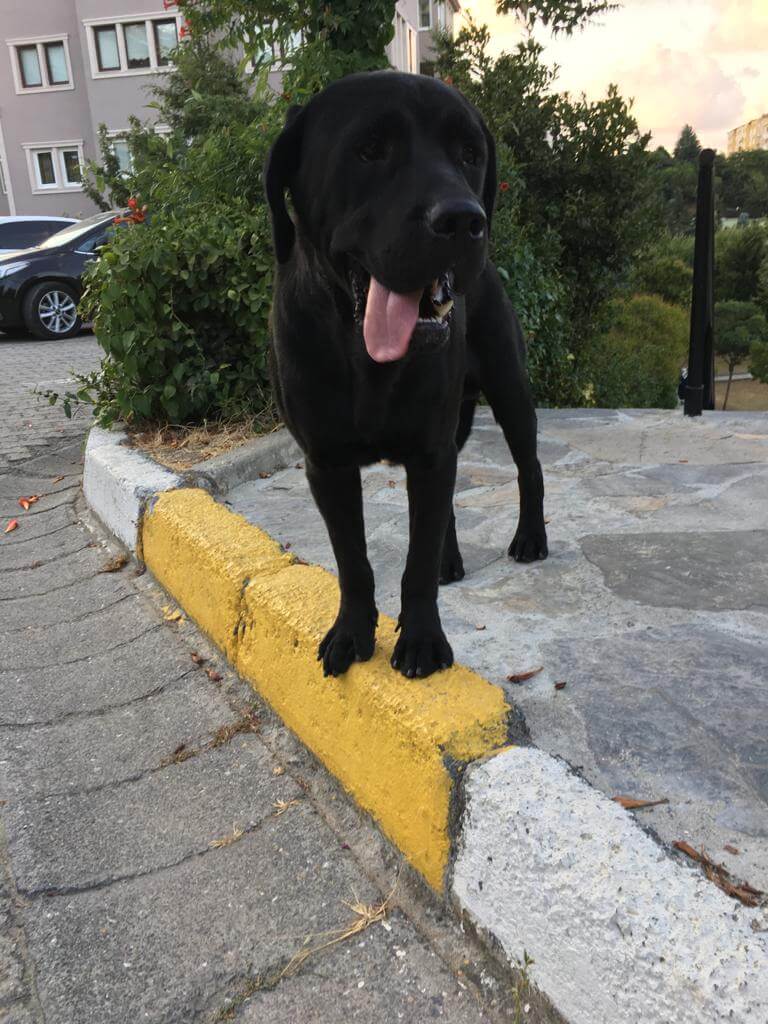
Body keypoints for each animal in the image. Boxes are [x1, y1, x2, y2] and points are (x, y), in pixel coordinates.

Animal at [264, 70, 547, 679]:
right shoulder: (327, 463)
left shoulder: (429, 449)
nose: (464, 219)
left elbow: (415, 561)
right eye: (370, 149)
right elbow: (353, 558)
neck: (365, 359)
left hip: (509, 391)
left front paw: (421, 640)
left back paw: (531, 538)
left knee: (529, 469)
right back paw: (452, 558)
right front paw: (351, 633)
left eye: (470, 154)